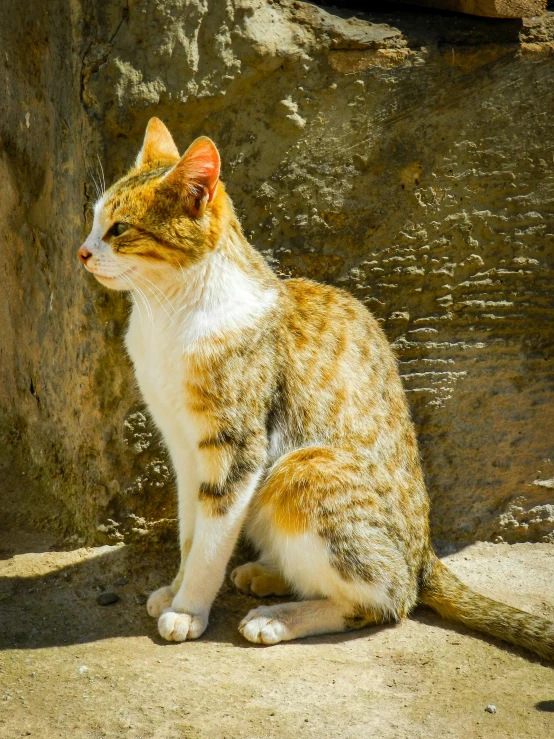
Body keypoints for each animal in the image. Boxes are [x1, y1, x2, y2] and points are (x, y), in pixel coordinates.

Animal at [78, 120, 552, 660]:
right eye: (94, 221)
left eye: (119, 229)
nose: (83, 252)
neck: (167, 315)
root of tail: (424, 553)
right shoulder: (183, 447)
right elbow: (190, 530)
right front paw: (176, 588)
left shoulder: (237, 448)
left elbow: (211, 539)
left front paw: (189, 608)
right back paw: (268, 575)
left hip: (302, 469)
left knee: (389, 599)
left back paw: (279, 618)